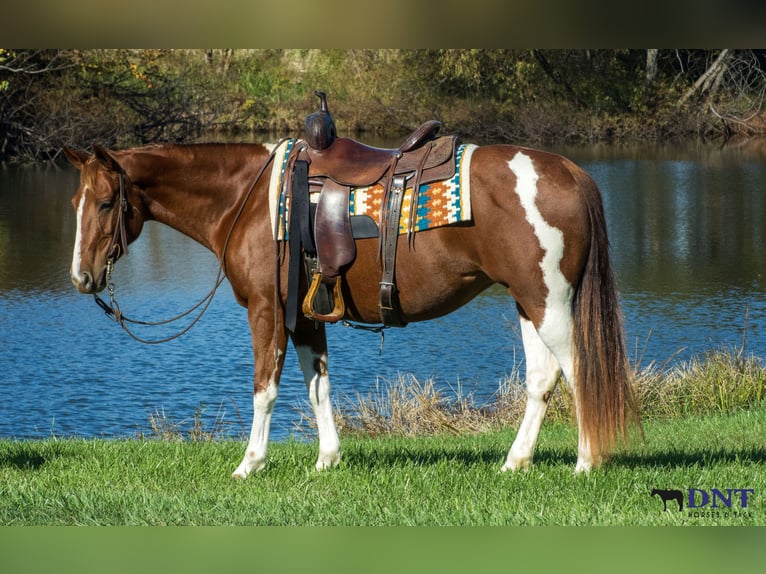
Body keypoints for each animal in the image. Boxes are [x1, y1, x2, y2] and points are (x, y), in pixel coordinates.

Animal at [64, 139, 638, 478]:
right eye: (76, 203)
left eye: (107, 203)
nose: (81, 277)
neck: (247, 200)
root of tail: (569, 170)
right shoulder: (304, 318)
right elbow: (318, 386)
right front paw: (327, 460)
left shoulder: (267, 312)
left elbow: (264, 390)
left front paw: (250, 464)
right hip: (527, 301)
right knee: (542, 379)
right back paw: (515, 463)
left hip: (550, 302)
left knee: (579, 369)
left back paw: (586, 463)